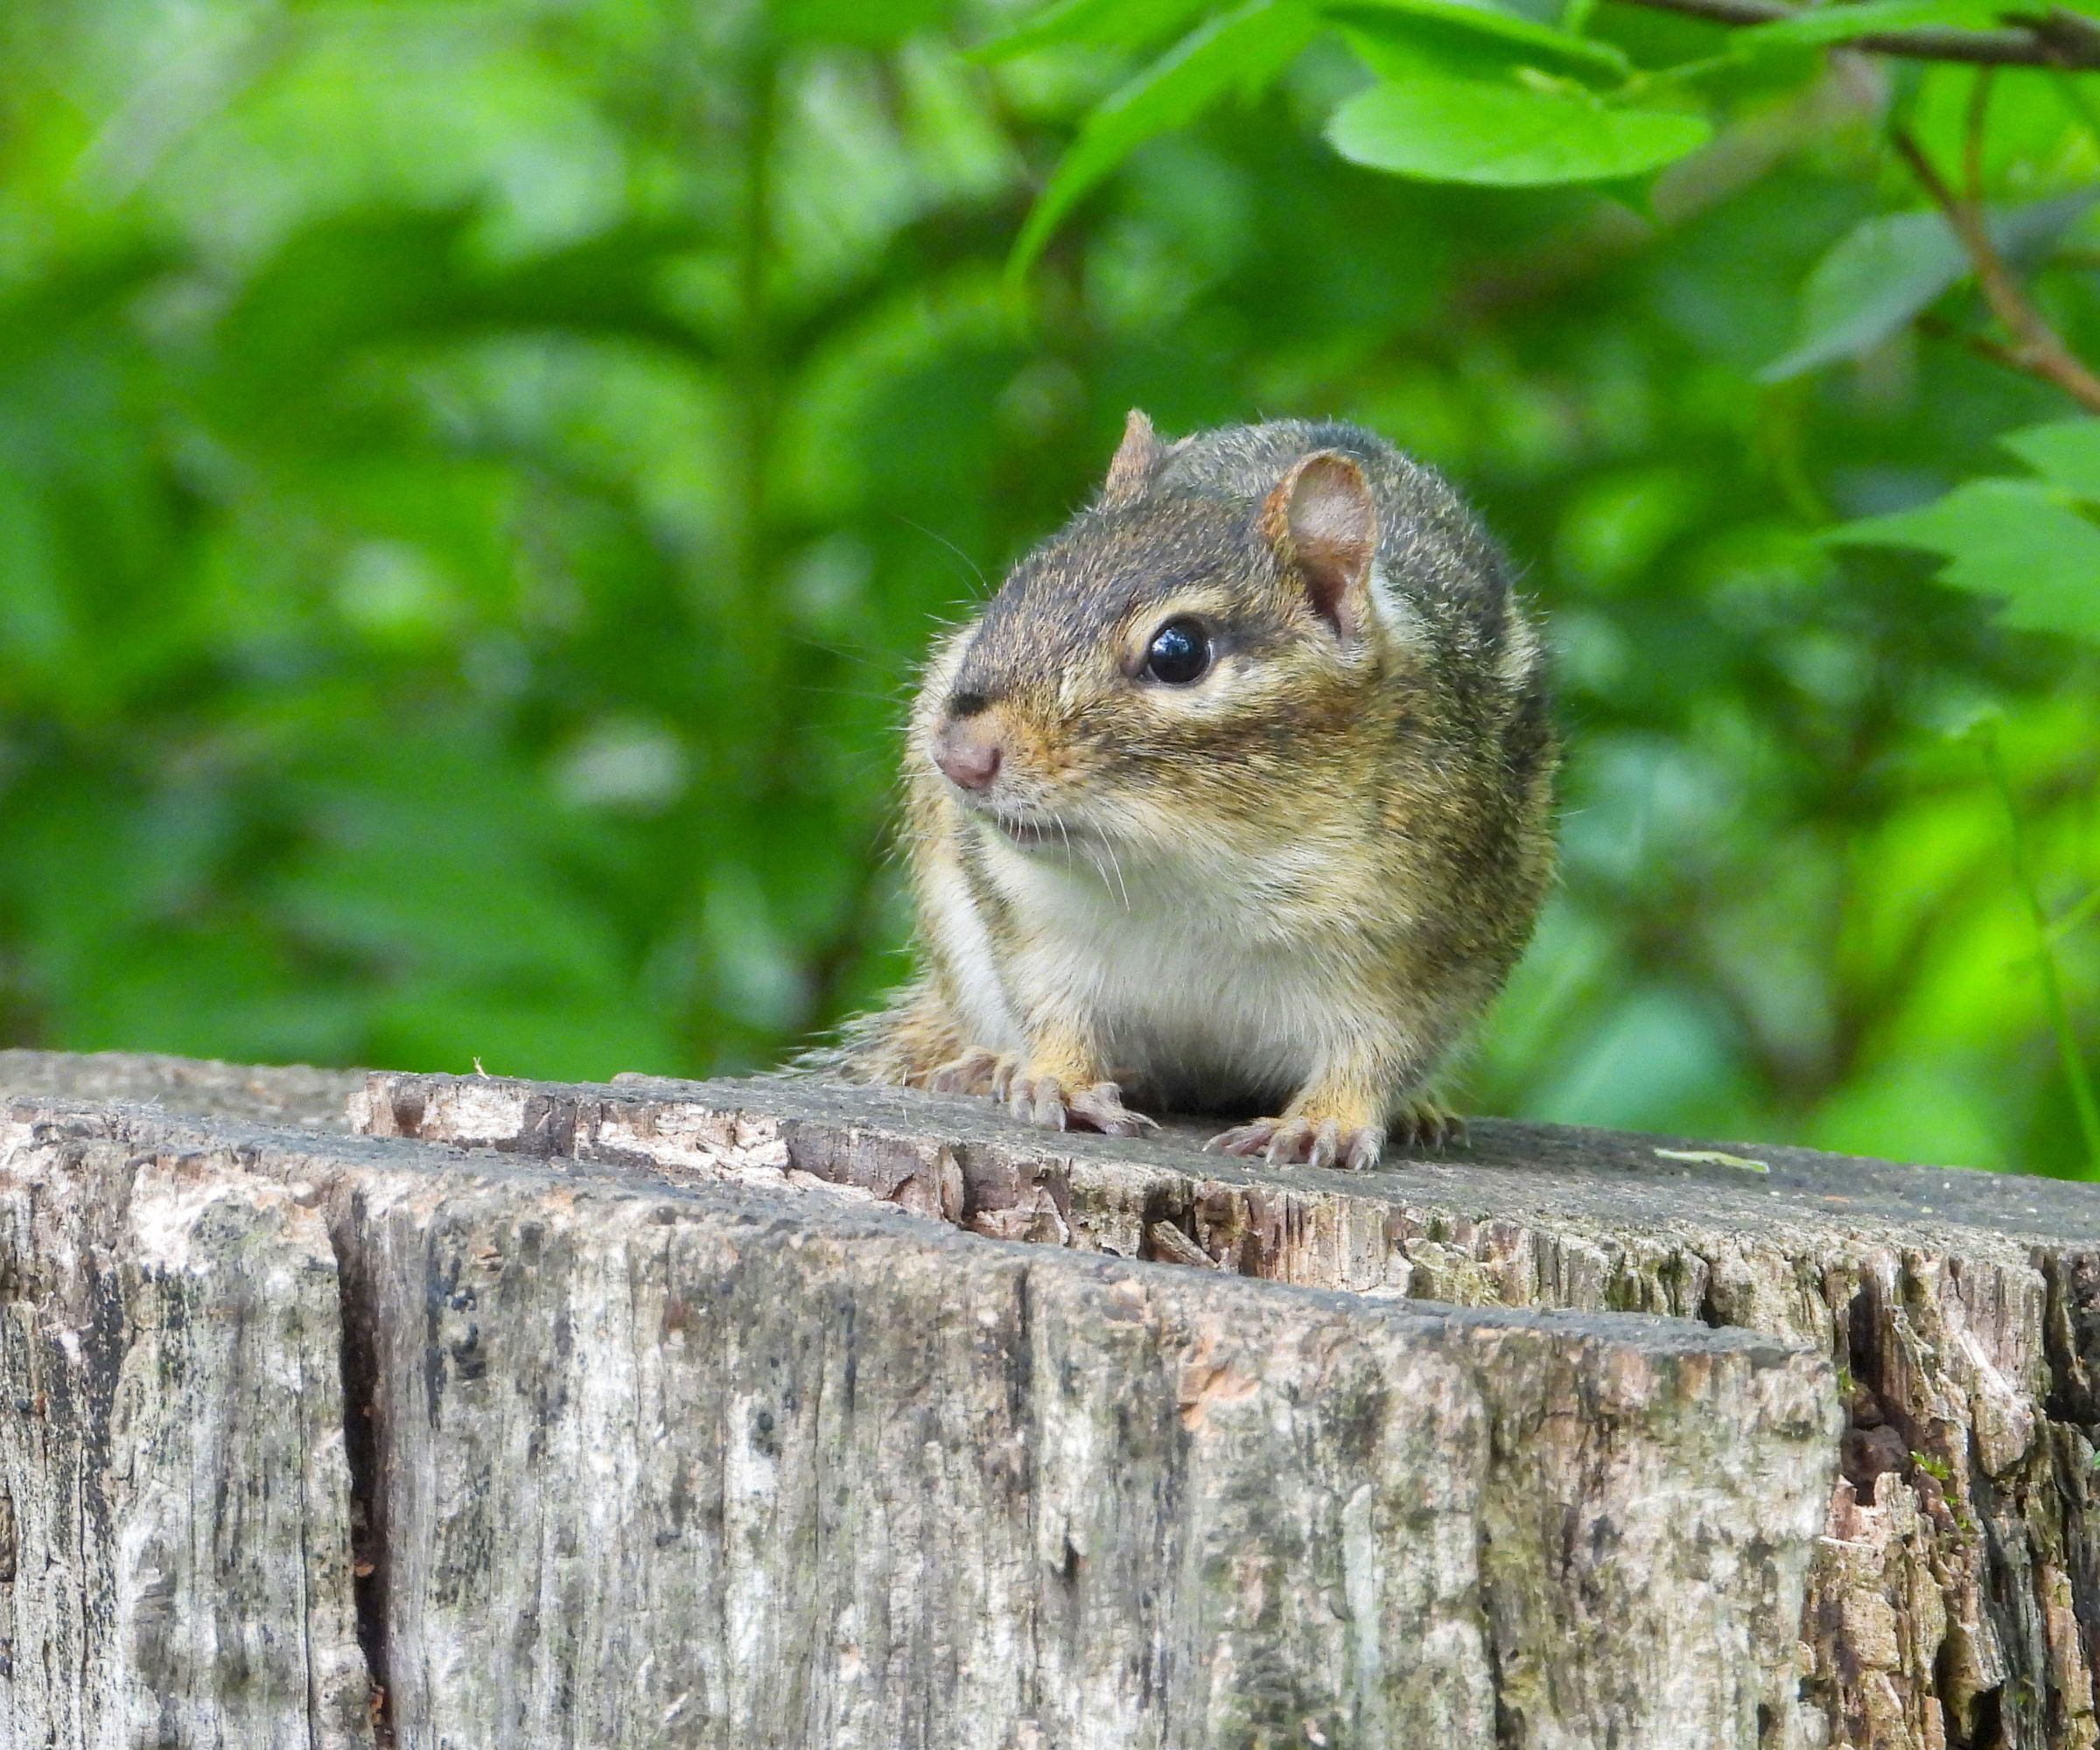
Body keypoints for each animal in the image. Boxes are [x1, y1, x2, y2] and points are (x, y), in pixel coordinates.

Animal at [827, 412, 1556, 1171]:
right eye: (1012, 590)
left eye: (1179, 651)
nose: (959, 757)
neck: (1196, 865)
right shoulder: (1031, 930)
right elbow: (1053, 1011)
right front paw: (1059, 1080)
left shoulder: (1426, 955)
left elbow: (1374, 1055)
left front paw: (1326, 1120)